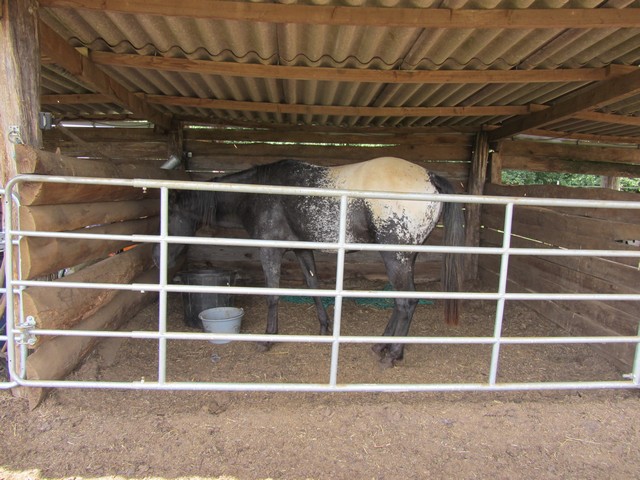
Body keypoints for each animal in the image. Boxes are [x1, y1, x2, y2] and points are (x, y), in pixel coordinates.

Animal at [153, 156, 465, 367]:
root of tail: (430, 176)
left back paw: (393, 354)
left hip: (395, 257)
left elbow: (272, 295)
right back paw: (381, 347)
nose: (156, 258)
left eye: (170, 215)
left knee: (406, 302)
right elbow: (314, 287)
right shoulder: (302, 250)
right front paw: (324, 328)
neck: (260, 193)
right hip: (405, 258)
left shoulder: (270, 250)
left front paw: (268, 338)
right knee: (402, 303)